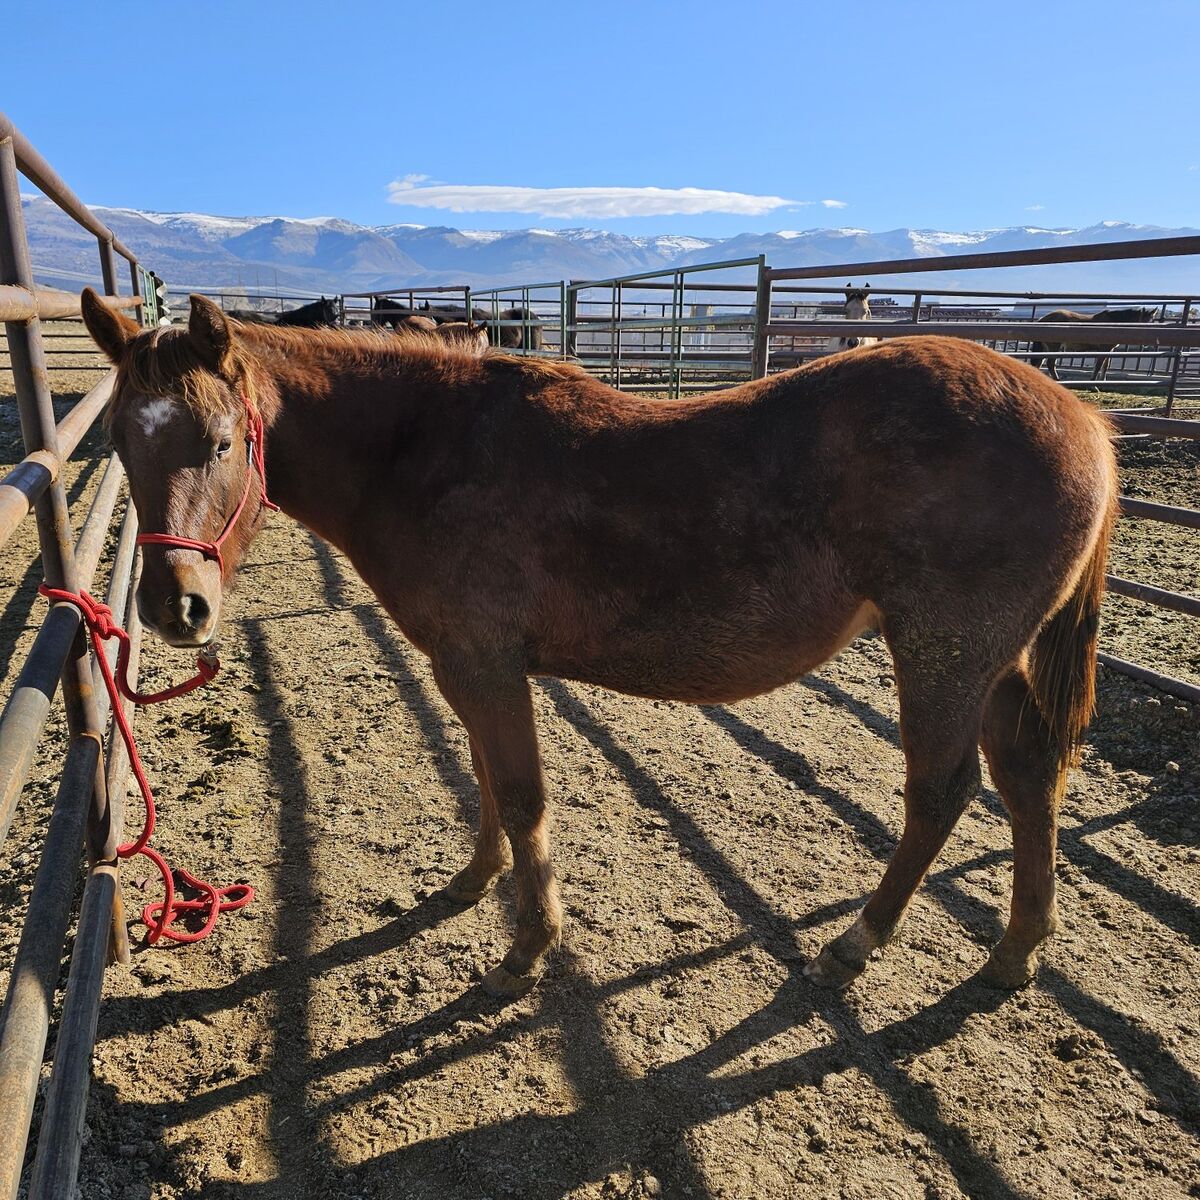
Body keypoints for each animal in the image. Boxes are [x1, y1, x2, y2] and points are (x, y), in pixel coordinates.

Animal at [81, 288, 1118, 1002]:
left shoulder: (489, 664)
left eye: (221, 443)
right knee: (1028, 775)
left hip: (944, 653)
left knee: (941, 794)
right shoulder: (466, 667)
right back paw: (1017, 949)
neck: (425, 451)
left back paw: (857, 943)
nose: (175, 609)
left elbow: (523, 795)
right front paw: (473, 883)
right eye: (125, 445)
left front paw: (526, 952)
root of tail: (1085, 420)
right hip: (993, 663)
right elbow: (484, 777)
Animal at [1029, 306, 1158, 381]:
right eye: (1144, 322)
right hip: (1053, 346)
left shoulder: (1109, 349)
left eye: (1152, 322)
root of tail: (1042, 319)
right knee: (1050, 364)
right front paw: (1093, 384)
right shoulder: (1104, 349)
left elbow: (1105, 366)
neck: (1113, 322)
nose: (1149, 341)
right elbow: (1098, 366)